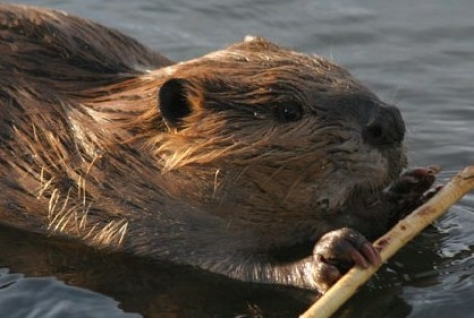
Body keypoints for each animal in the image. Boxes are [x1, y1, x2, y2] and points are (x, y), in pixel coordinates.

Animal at [0, 3, 436, 294]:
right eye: (287, 109)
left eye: (342, 71)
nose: (389, 122)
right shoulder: (127, 214)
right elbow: (234, 268)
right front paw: (335, 253)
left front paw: (413, 188)